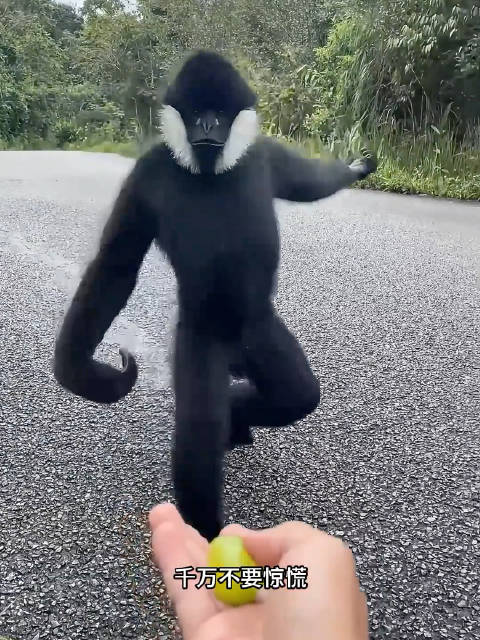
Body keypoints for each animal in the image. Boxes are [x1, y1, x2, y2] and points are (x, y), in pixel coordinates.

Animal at [53, 50, 376, 541]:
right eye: (195, 112)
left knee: (296, 394)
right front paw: (79, 371)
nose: (207, 125)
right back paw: (207, 528)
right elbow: (115, 266)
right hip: (200, 335)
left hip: (259, 329)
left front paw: (357, 168)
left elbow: (308, 184)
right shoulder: (147, 173)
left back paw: (238, 416)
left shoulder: (262, 154)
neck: (209, 173)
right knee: (200, 428)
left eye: (219, 114)